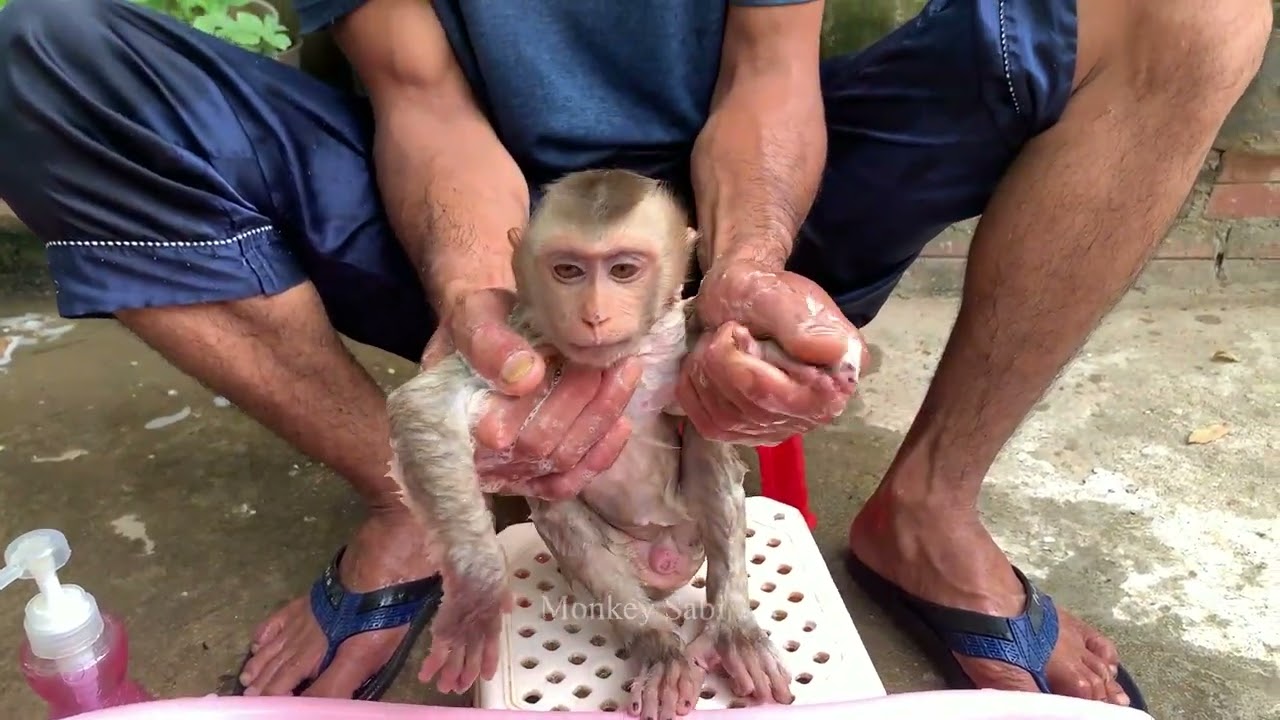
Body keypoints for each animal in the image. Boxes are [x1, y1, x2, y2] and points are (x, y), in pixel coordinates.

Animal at [384, 169, 863, 720]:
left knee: (706, 448)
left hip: (686, 531)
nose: (593, 315)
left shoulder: (683, 338)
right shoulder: (522, 340)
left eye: (623, 271)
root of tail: (662, 562)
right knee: (561, 512)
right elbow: (422, 406)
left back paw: (731, 627)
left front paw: (807, 367)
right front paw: (477, 599)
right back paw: (659, 647)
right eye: (568, 270)